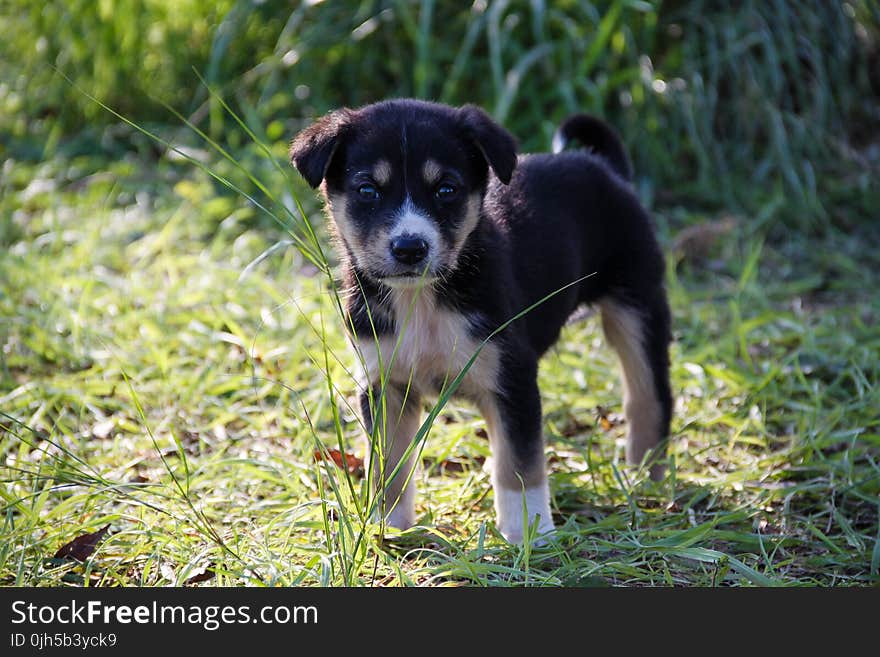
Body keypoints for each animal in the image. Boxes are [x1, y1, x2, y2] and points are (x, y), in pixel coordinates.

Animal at [292, 98, 672, 544]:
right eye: (367, 190)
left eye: (447, 189)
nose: (410, 248)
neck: (424, 301)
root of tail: (604, 168)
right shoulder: (385, 384)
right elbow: (389, 465)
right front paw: (391, 527)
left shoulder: (512, 378)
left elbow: (520, 465)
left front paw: (529, 532)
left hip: (638, 303)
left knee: (649, 395)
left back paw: (646, 479)